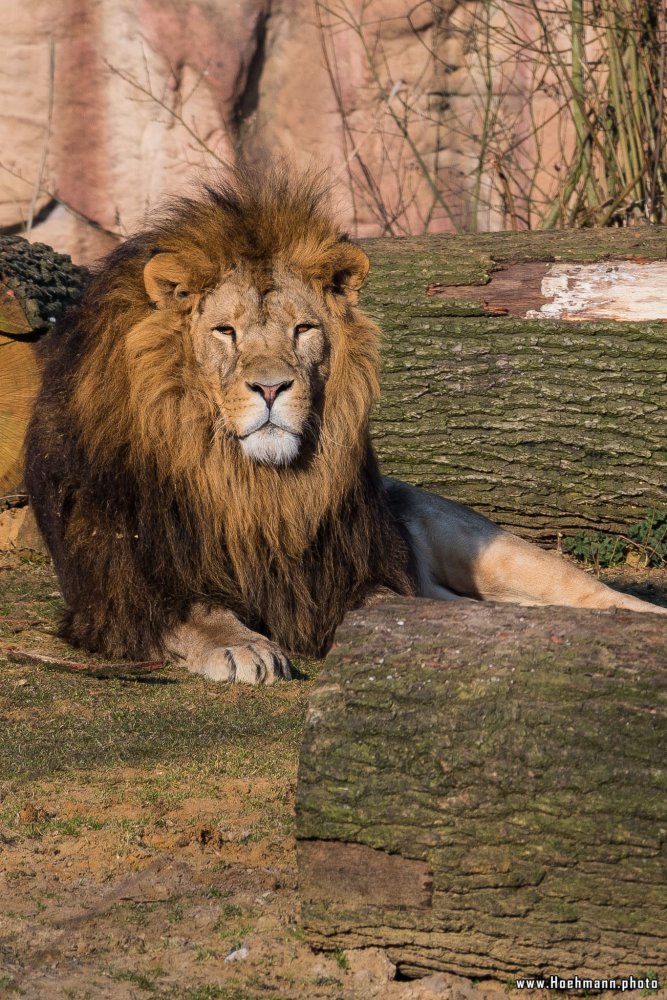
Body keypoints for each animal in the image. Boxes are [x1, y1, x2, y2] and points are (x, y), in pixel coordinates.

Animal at [23, 168, 664, 684]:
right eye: (225, 331)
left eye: (304, 329)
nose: (271, 388)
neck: (248, 485)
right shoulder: (121, 587)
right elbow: (193, 610)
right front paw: (240, 645)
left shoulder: (349, 573)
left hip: (486, 546)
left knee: (585, 590)